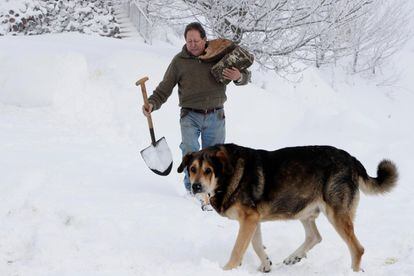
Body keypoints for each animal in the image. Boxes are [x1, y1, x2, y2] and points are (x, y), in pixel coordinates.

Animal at [178, 143, 398, 272]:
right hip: (304, 209)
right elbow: (257, 245)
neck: (227, 175)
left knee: (357, 249)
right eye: (192, 169)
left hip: (336, 214)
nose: (196, 186)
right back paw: (294, 257)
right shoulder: (253, 220)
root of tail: (352, 160)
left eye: (208, 170)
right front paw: (266, 264)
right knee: (315, 236)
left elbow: (238, 249)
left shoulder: (248, 219)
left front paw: (227, 269)